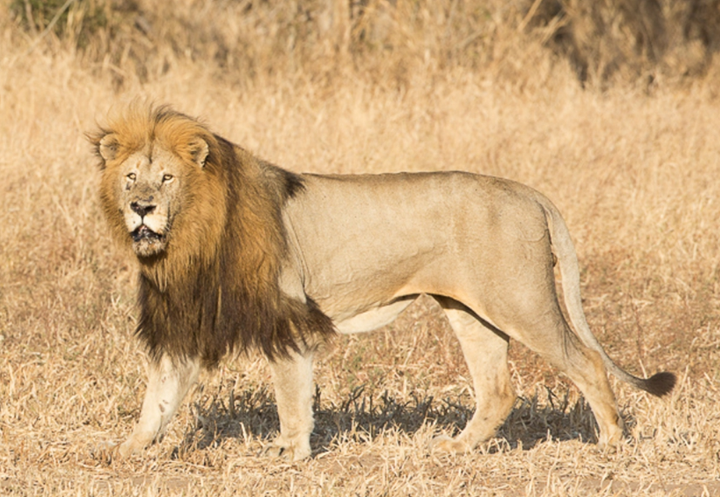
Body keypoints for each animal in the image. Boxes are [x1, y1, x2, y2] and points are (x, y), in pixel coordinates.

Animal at [88, 104, 676, 462]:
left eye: (167, 177)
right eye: (130, 177)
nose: (142, 207)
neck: (187, 241)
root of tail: (529, 192)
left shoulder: (286, 313)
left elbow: (290, 394)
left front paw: (290, 454)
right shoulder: (183, 323)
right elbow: (158, 398)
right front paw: (124, 450)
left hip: (520, 300)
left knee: (587, 362)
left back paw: (612, 444)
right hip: (471, 311)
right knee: (499, 388)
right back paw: (455, 449)